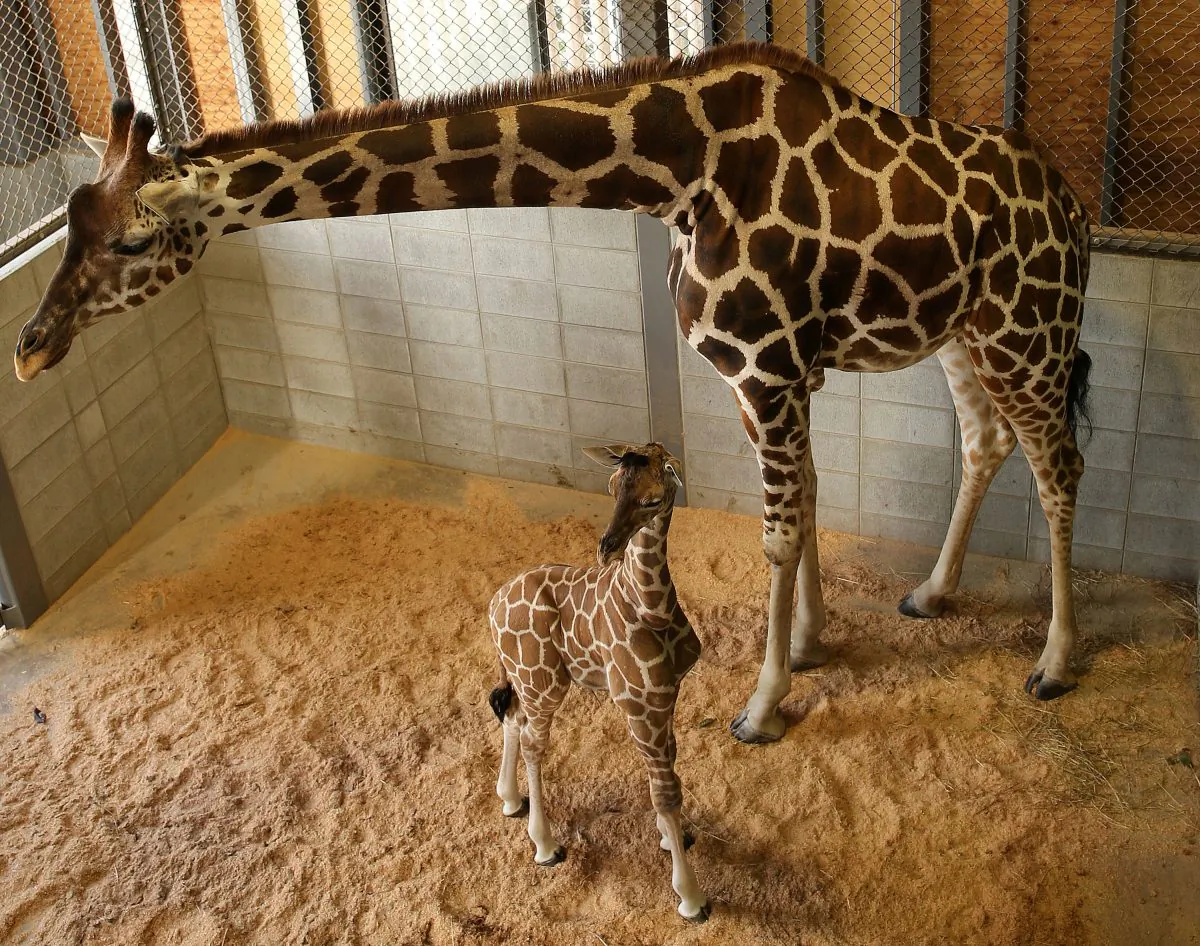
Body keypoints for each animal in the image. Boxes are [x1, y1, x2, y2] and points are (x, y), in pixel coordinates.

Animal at [14, 42, 1093, 745]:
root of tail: (1077, 209)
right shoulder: (776, 371)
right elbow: (810, 505)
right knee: (988, 443)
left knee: (1060, 466)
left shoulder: (765, 363)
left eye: (133, 240)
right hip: (967, 336)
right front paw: (814, 643)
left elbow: (780, 532)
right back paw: (933, 591)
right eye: (68, 222)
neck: (676, 174)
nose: (29, 348)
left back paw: (1052, 663)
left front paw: (761, 705)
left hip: (1029, 332)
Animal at [488, 441, 708, 922]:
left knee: (511, 717)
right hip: (544, 681)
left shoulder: (667, 697)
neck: (651, 606)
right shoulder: (636, 703)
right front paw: (691, 898)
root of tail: (492, 609)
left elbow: (670, 773)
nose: (607, 549)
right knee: (533, 742)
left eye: (653, 499)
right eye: (611, 487)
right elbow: (666, 791)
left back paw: (510, 800)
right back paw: (546, 845)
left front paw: (671, 838)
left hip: (526, 680)